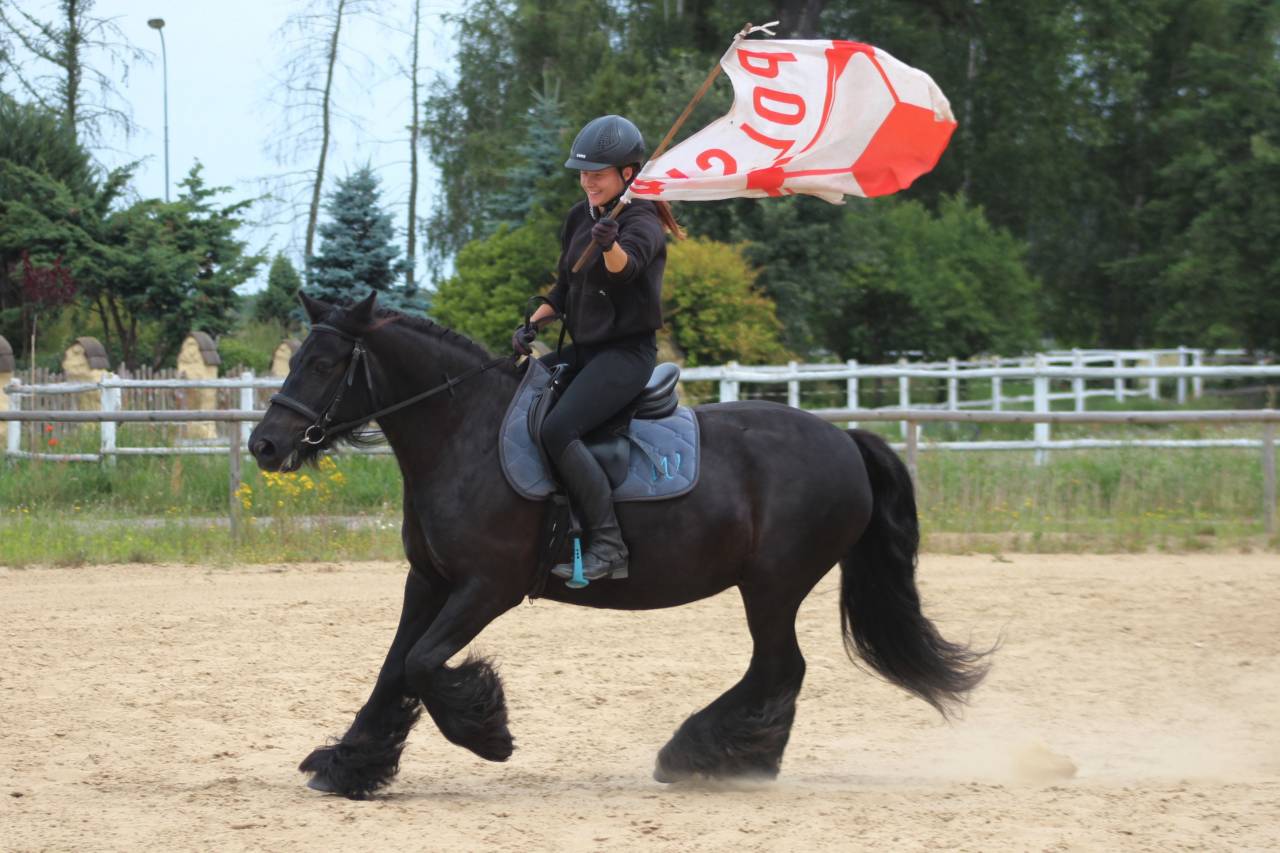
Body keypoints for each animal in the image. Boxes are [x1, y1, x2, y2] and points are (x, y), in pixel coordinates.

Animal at [248, 291, 991, 798]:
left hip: (773, 584)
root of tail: (845, 439)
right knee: (779, 669)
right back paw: (730, 755)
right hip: (770, 586)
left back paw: (708, 756)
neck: (465, 433)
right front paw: (348, 764)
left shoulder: (487, 587)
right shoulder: (428, 580)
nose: (266, 445)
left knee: (782, 667)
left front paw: (488, 732)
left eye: (323, 362)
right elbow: (394, 666)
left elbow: (425, 663)